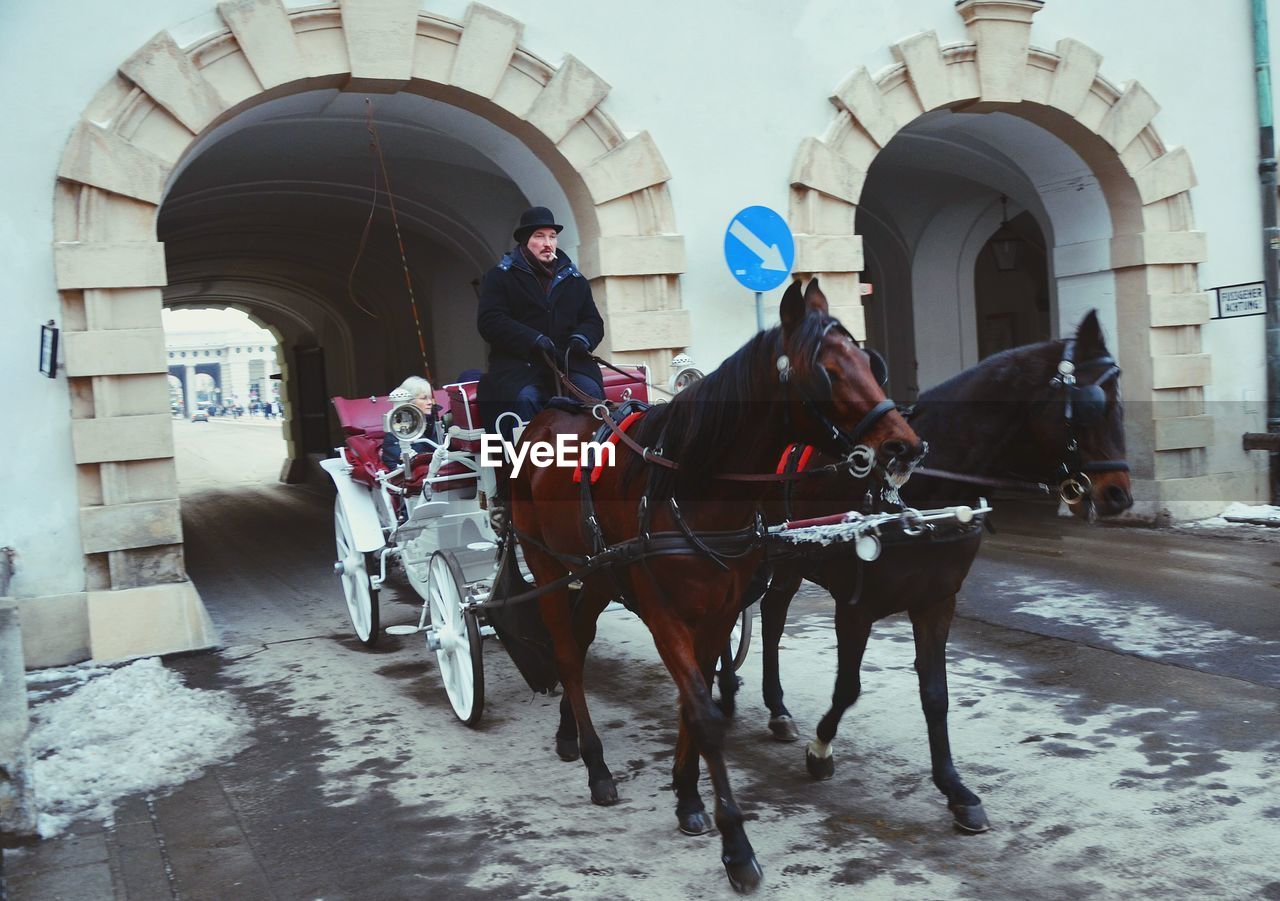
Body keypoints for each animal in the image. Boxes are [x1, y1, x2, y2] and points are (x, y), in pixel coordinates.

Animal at [506, 281, 921, 895]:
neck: (691, 484)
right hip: (549, 567)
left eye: (871, 364)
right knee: (566, 653)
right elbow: (701, 711)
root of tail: (543, 418)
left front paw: (686, 795)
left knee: (576, 644)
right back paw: (597, 764)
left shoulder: (719, 610)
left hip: (600, 574)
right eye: (826, 373)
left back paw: (569, 736)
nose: (905, 446)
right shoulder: (665, 615)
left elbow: (694, 697)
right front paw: (736, 846)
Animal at [737, 310, 1136, 839]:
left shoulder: (936, 602)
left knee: (773, 614)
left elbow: (936, 695)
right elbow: (848, 687)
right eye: (1090, 406)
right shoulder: (856, 606)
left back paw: (776, 708)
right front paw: (821, 749)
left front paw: (955, 789)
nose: (1119, 494)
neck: (916, 495)